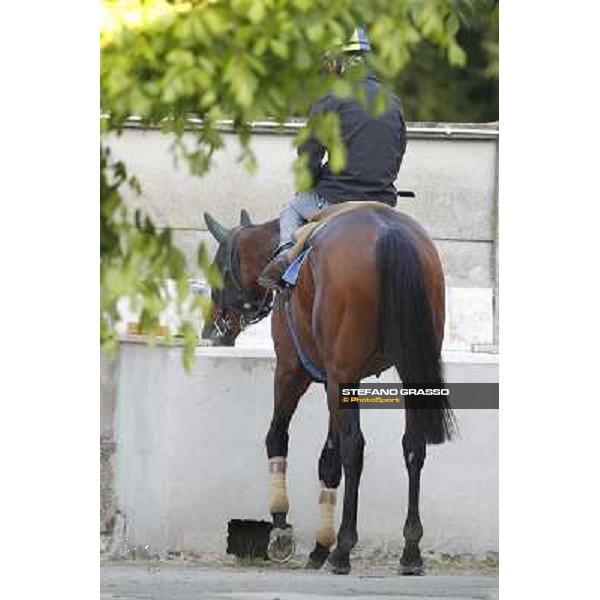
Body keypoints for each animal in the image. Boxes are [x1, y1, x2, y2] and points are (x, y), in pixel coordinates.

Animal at [202, 204, 454, 576]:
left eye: (219, 270)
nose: (210, 331)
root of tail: (388, 230)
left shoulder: (293, 371)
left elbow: (278, 437)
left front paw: (281, 524)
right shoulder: (336, 381)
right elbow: (329, 460)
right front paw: (320, 545)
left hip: (338, 375)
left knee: (355, 449)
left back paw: (344, 548)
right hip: (406, 371)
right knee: (412, 446)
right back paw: (410, 550)